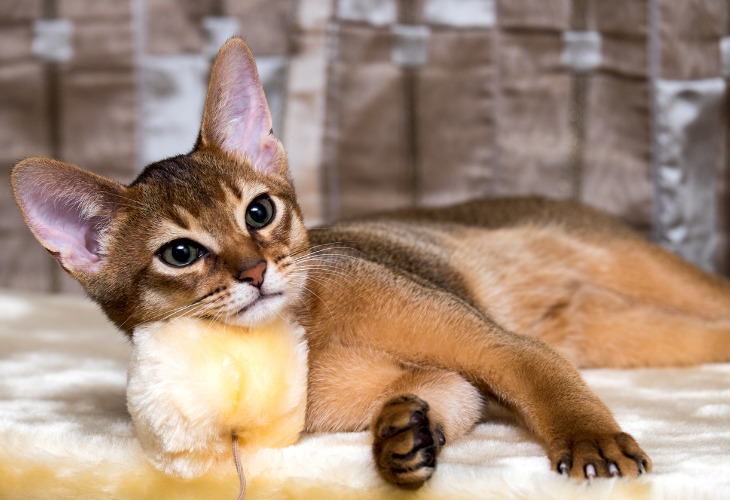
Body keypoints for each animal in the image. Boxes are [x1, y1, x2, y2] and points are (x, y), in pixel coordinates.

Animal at [9, 38, 728, 488]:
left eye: (259, 212)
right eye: (180, 253)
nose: (254, 273)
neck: (315, 336)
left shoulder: (498, 345)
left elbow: (549, 382)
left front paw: (589, 441)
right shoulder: (456, 384)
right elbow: (438, 402)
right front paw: (399, 441)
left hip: (641, 273)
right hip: (630, 332)